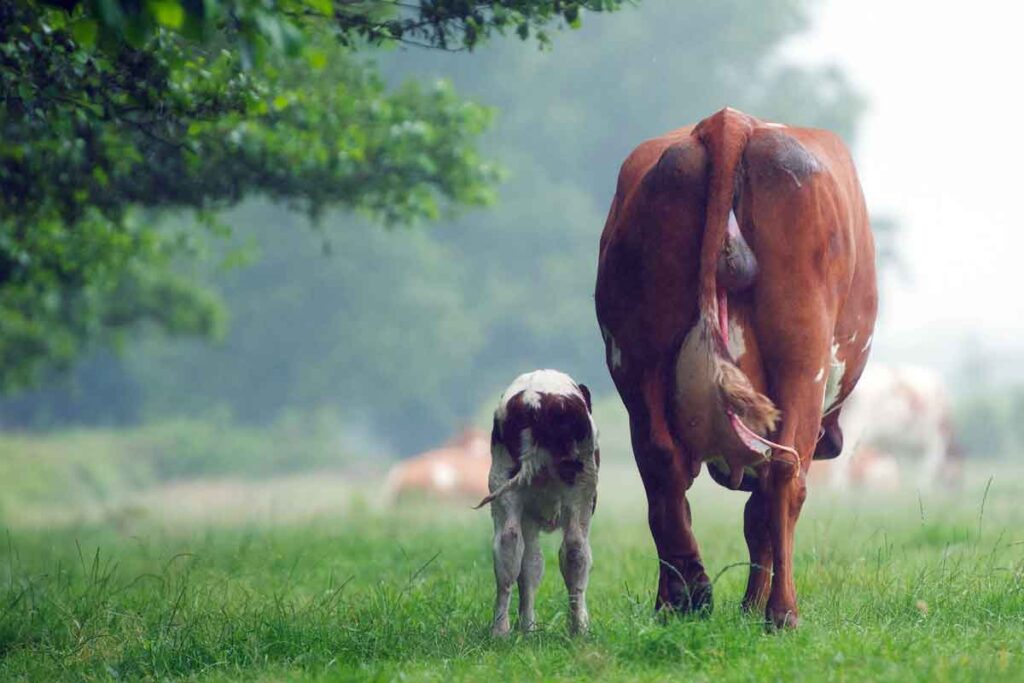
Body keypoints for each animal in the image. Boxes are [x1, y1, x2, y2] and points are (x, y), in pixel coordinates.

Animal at [477, 370, 598, 638]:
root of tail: (535, 400)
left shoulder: (528, 516)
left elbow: (530, 566)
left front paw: (528, 628)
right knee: (576, 548)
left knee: (508, 545)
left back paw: (500, 630)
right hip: (582, 487)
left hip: (502, 482)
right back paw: (579, 628)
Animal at [598, 108, 876, 630]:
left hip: (637, 358)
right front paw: (752, 605)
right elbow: (760, 513)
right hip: (803, 358)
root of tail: (731, 122)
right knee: (785, 475)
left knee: (661, 468)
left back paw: (682, 599)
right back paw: (782, 613)